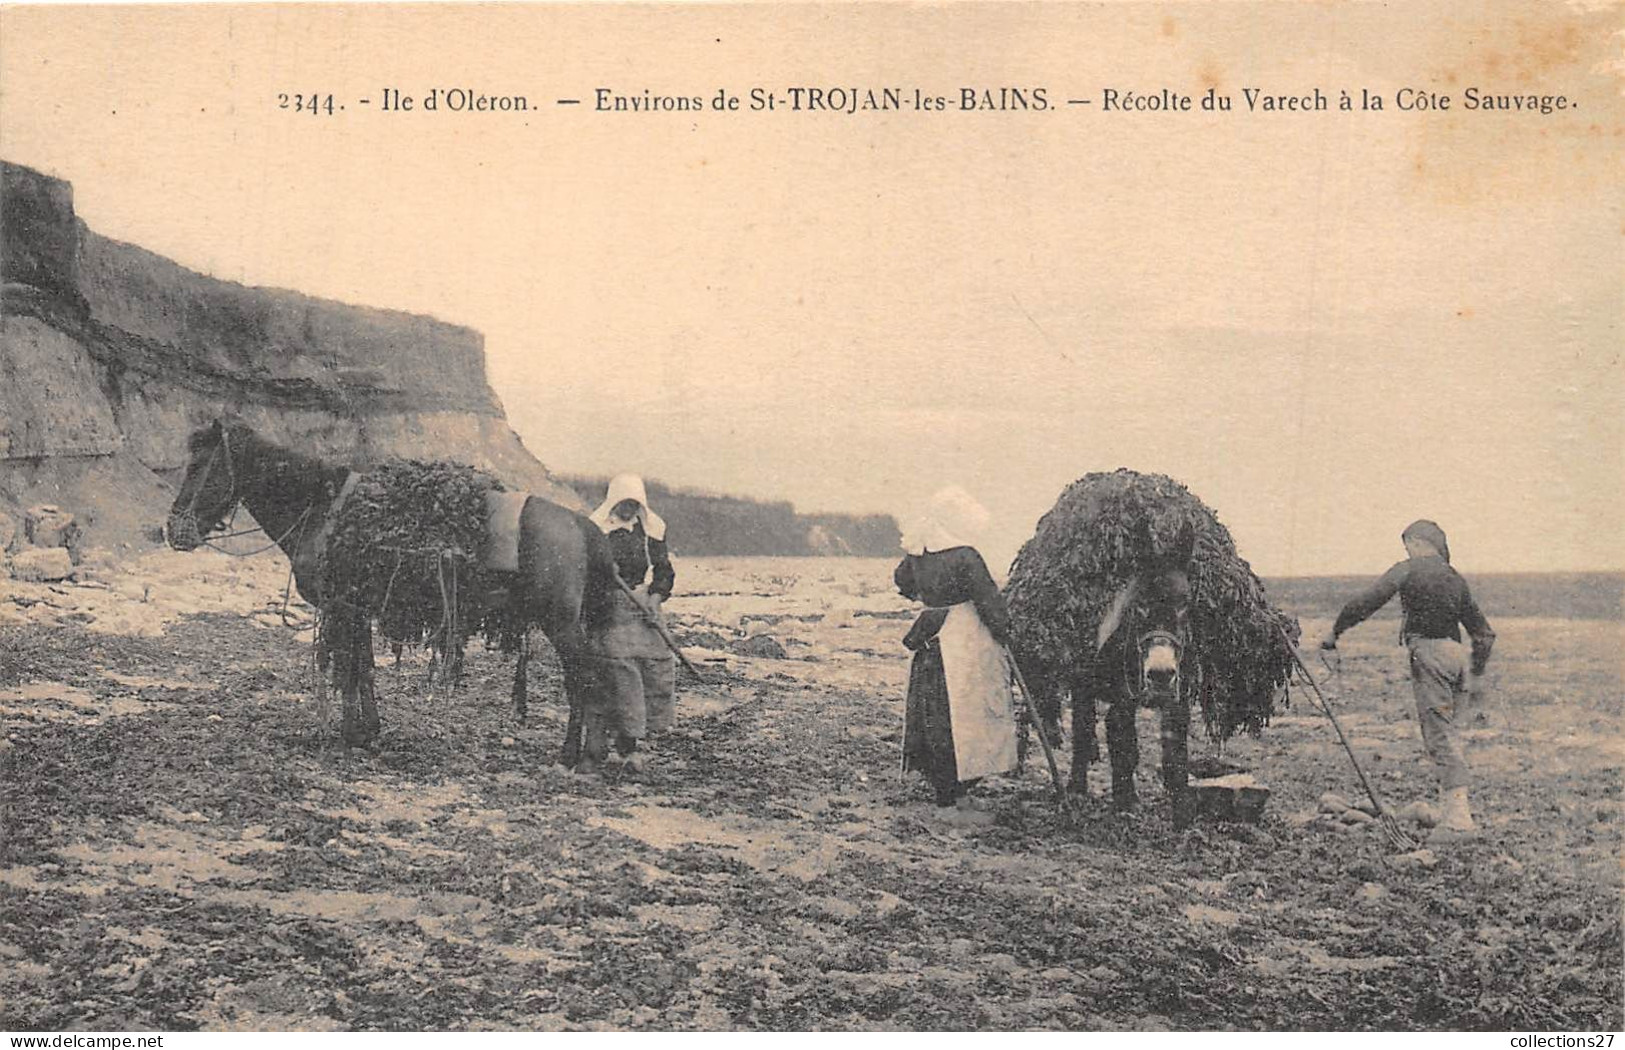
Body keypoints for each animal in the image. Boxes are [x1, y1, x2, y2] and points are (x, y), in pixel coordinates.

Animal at [166, 422, 614, 757]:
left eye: (201, 466)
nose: (173, 530)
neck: (321, 511)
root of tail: (580, 523)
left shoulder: (342, 608)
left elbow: (348, 670)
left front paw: (350, 735)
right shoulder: (359, 609)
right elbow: (363, 669)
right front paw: (369, 731)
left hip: (561, 624)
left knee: (584, 677)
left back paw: (574, 755)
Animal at [1033, 526, 1202, 832]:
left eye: (1184, 603)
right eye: (1140, 605)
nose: (1160, 674)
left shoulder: (1178, 699)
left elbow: (1175, 752)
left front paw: (1182, 812)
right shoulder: (1122, 701)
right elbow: (1124, 745)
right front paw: (1126, 804)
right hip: (1082, 684)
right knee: (1082, 729)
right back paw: (1076, 790)